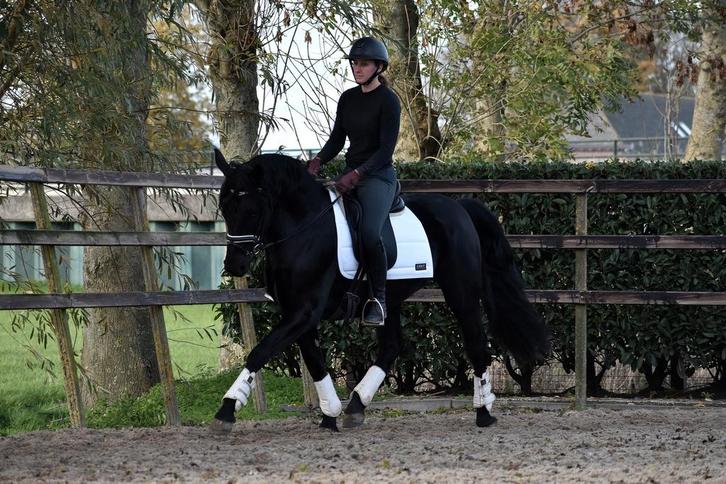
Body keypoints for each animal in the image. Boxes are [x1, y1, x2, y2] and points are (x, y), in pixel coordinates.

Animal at [210, 149, 550, 433]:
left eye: (252, 211)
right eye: (224, 208)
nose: (234, 266)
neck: (305, 230)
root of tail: (459, 206)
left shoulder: (305, 311)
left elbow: (261, 351)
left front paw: (226, 410)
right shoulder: (298, 313)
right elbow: (314, 361)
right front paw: (330, 414)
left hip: (461, 292)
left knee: (477, 344)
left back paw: (484, 412)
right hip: (389, 299)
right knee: (390, 347)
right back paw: (356, 405)